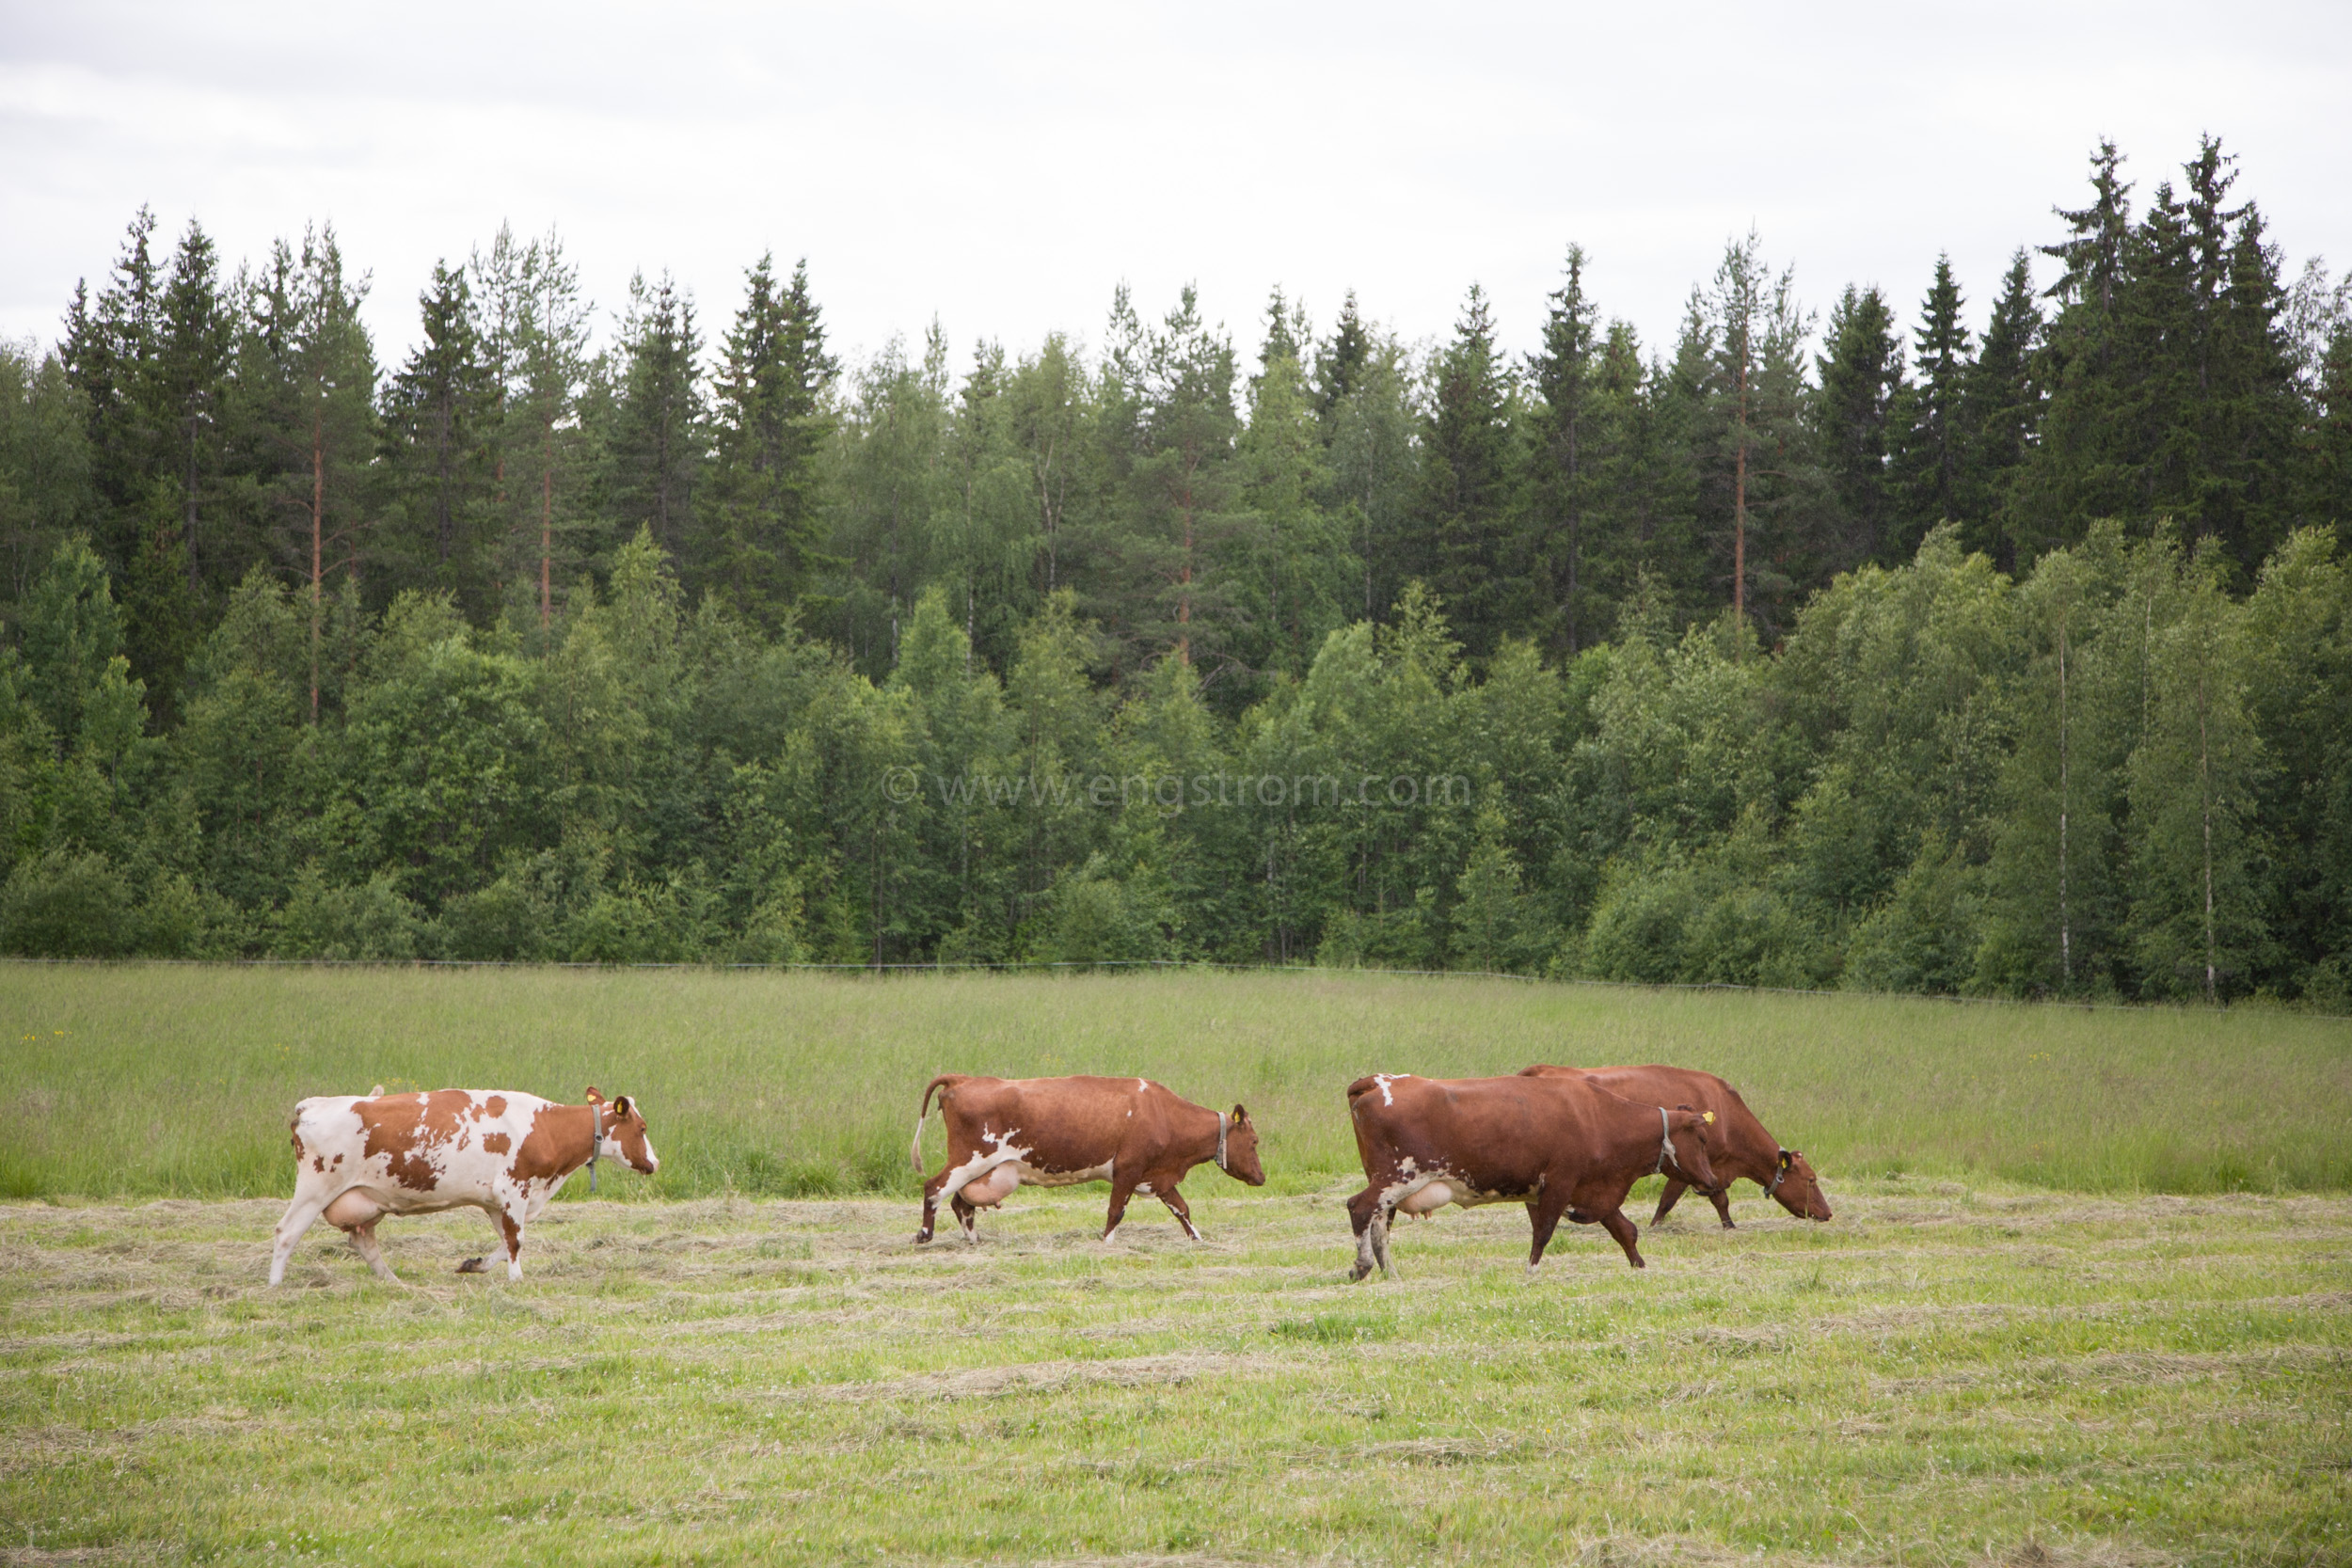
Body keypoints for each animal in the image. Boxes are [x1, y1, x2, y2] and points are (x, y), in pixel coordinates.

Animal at [266, 1085, 663, 1278]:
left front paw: (475, 1265)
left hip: (364, 1200)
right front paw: (516, 1280)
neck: (545, 1127)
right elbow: (516, 1241)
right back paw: (275, 1286)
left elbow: (508, 1241)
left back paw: (392, 1281)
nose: (655, 1163)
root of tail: (311, 1106)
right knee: (286, 1232)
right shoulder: (514, 1190)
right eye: (643, 1128)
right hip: (315, 1189)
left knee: (364, 1242)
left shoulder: (497, 1202)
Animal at [908, 1071, 1270, 1241]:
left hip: (983, 1169)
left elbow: (1182, 1210)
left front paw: (1198, 1240)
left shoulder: (1158, 1177)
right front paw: (1105, 1244)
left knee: (961, 1203)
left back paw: (973, 1240)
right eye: (1254, 1141)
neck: (1162, 1112)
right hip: (969, 1159)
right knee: (935, 1189)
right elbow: (1115, 1213)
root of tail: (964, 1079)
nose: (1262, 1177)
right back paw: (924, 1235)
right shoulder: (1127, 1171)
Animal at [1345, 1071, 1731, 1278]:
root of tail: (1378, 1081)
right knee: (1359, 1207)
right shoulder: (1560, 1183)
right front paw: (1531, 1272)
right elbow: (1544, 1232)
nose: (1712, 1181)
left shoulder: (1587, 1190)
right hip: (1399, 1176)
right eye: (1701, 1138)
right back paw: (1363, 1265)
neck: (1596, 1117)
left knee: (1379, 1225)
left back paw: (1390, 1273)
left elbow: (1625, 1231)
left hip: (1389, 1182)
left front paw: (1640, 1266)